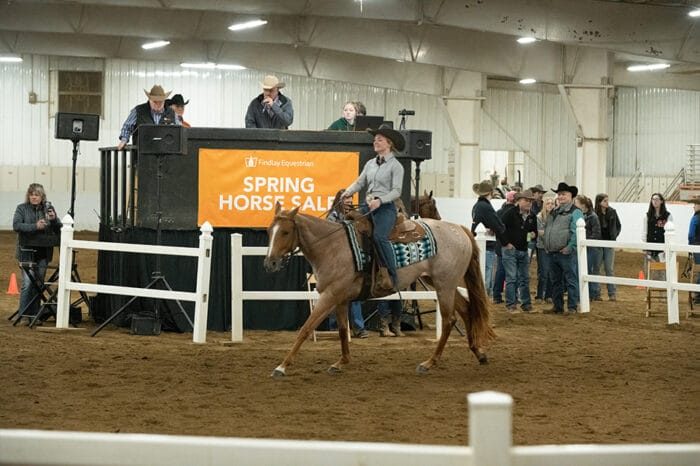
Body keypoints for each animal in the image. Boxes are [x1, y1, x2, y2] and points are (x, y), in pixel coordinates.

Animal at [264, 201, 494, 377]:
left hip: (444, 285)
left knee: (449, 320)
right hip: (441, 283)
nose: (270, 263)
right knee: (467, 311)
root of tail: (459, 229)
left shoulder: (329, 296)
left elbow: (305, 329)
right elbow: (342, 330)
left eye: (285, 232)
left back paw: (429, 363)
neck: (331, 247)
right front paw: (341, 362)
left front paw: (281, 367)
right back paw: (479, 353)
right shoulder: (340, 298)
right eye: (268, 231)